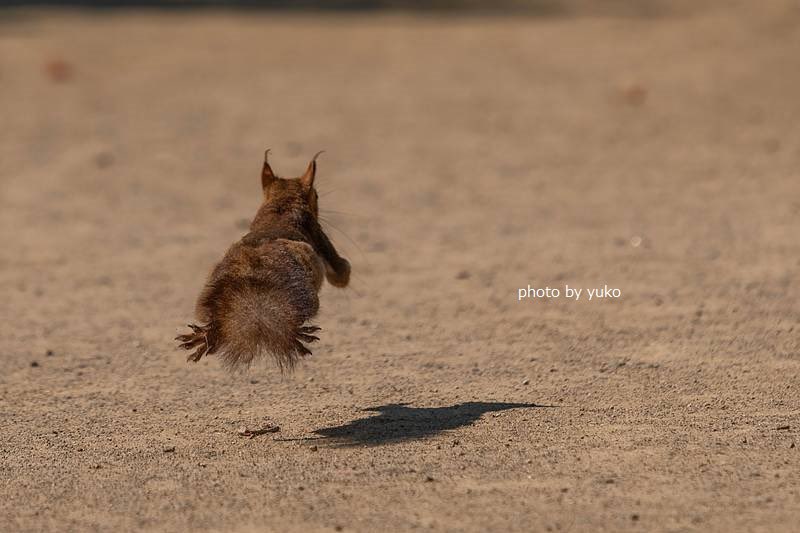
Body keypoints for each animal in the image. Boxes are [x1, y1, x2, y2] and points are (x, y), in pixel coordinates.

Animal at [176, 150, 351, 370]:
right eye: (316, 195)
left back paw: (202, 339)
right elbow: (342, 271)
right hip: (305, 297)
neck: (281, 206)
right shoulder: (320, 236)